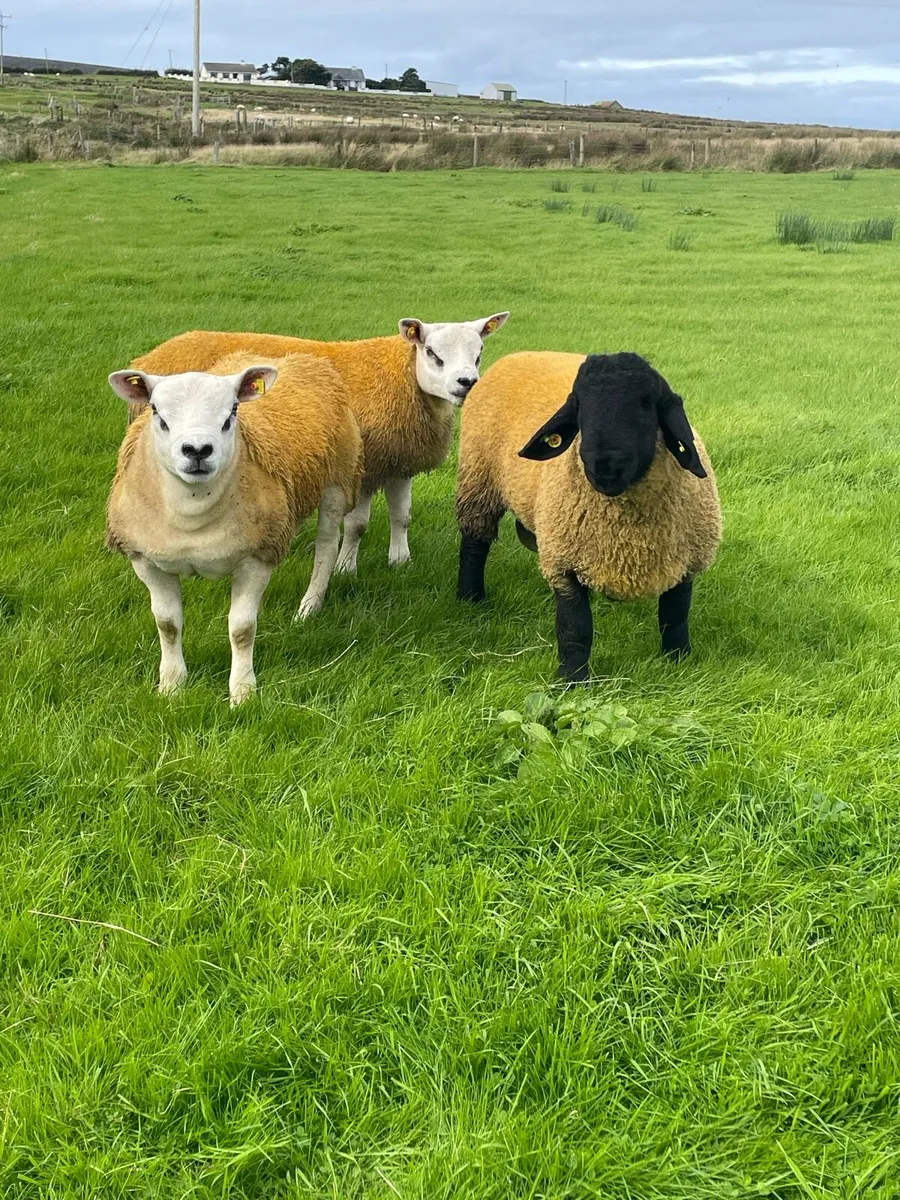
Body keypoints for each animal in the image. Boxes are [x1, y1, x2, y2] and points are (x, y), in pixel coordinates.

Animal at [107, 352, 363, 705]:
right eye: (157, 412)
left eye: (232, 412)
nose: (197, 450)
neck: (193, 516)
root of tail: (297, 358)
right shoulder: (146, 560)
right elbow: (167, 625)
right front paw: (171, 687)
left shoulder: (256, 558)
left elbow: (242, 630)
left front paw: (242, 693)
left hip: (338, 477)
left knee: (326, 545)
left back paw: (310, 605)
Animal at [128, 313, 510, 574]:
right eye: (431, 352)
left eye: (479, 351)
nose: (467, 382)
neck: (404, 378)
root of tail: (152, 356)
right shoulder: (363, 465)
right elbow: (356, 525)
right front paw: (345, 567)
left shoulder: (398, 460)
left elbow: (402, 516)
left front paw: (400, 561)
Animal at [455, 351, 721, 682]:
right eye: (580, 405)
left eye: (646, 403)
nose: (604, 467)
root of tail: (518, 354)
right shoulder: (563, 563)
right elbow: (575, 628)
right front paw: (571, 679)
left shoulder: (687, 565)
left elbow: (675, 617)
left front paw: (678, 661)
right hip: (478, 479)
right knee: (474, 543)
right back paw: (471, 597)